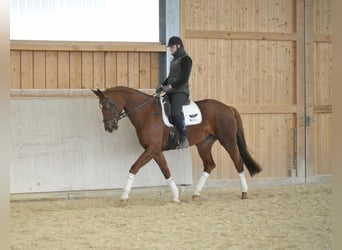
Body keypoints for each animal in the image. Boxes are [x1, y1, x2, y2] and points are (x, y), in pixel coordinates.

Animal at [91, 86, 262, 203]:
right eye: (100, 107)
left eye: (107, 106)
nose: (109, 128)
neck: (147, 113)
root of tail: (227, 107)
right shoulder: (155, 150)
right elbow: (166, 171)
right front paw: (175, 196)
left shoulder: (152, 149)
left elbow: (134, 167)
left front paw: (124, 196)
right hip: (204, 144)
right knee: (209, 165)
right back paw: (196, 194)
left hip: (228, 140)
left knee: (238, 162)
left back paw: (244, 193)